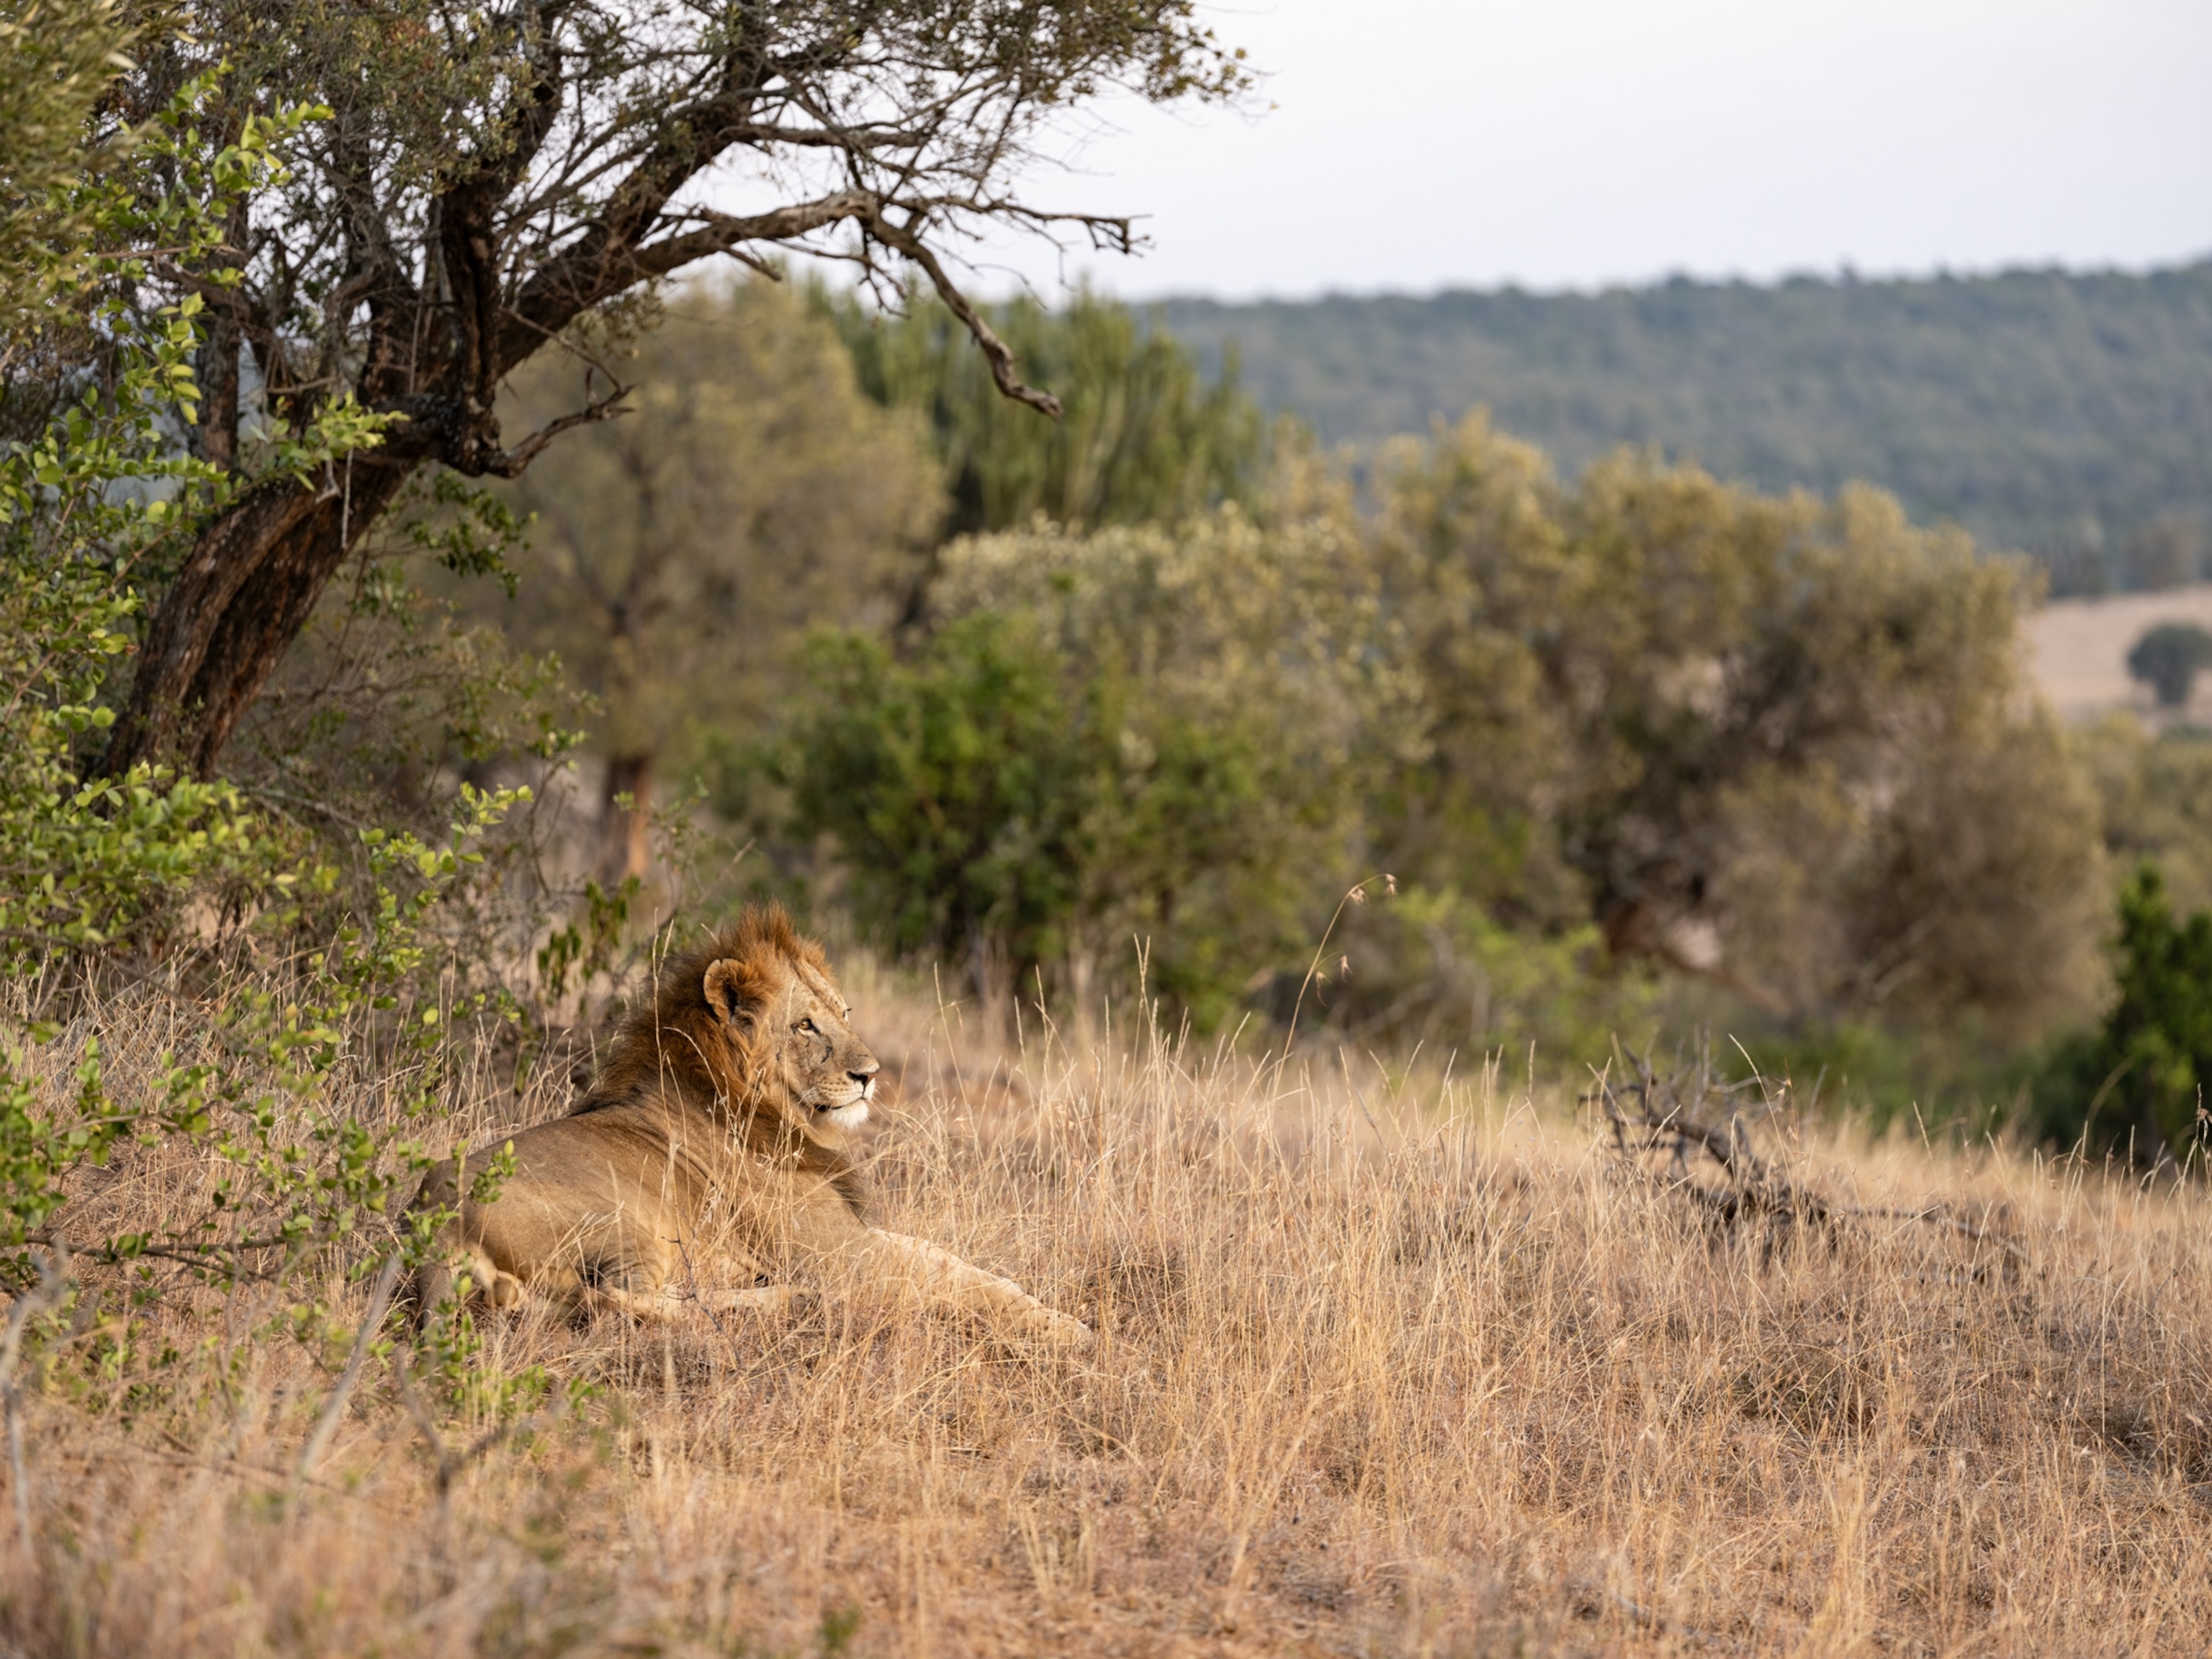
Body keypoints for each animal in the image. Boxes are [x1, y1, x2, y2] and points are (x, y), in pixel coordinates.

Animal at [410, 906, 1092, 1348]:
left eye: (844, 1013)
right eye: (805, 1025)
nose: (871, 1074)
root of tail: (432, 1225)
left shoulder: (855, 1235)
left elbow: (956, 1263)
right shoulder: (844, 1258)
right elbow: (961, 1284)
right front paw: (1070, 1329)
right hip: (625, 1220)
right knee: (619, 1304)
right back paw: (786, 1300)